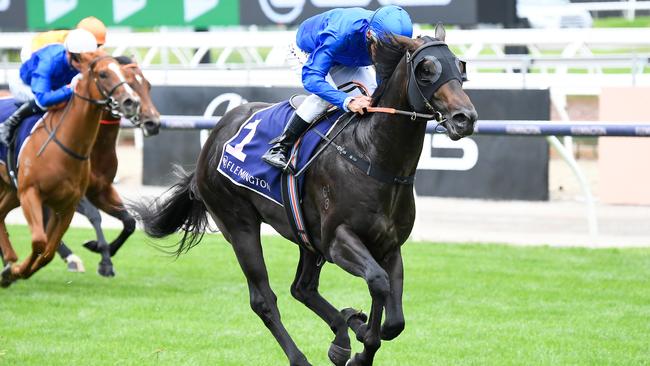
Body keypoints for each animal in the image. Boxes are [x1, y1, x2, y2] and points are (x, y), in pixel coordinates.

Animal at [0, 51, 140, 288]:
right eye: (103, 74)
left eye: (124, 74)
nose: (131, 101)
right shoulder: (31, 193)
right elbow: (40, 241)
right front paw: (16, 271)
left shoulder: (69, 203)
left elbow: (47, 251)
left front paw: (13, 272)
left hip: (11, 190)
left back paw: (9, 259)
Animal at [132, 24, 476, 364]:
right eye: (426, 70)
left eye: (459, 66)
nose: (465, 118)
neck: (372, 155)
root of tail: (214, 139)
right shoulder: (338, 240)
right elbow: (378, 282)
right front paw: (362, 341)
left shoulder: (388, 245)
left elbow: (393, 318)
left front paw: (359, 335)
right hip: (239, 225)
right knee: (264, 299)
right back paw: (305, 355)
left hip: (306, 236)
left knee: (302, 288)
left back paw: (342, 333)